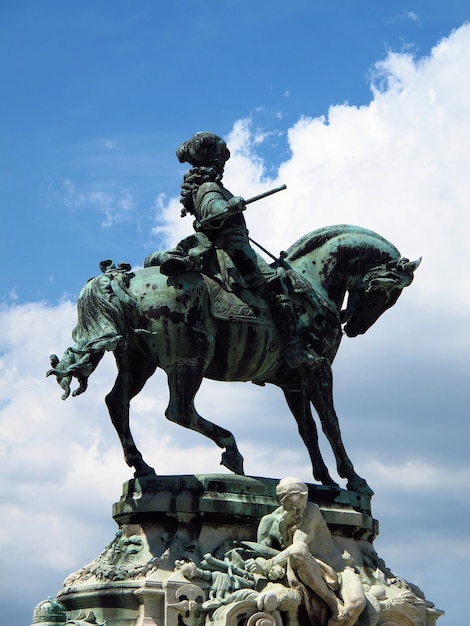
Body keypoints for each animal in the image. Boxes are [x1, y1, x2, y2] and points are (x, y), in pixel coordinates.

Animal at [47, 224, 420, 492]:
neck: (311, 282)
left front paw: (325, 480)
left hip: (139, 363)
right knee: (178, 410)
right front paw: (353, 480)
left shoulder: (294, 383)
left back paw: (142, 465)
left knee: (117, 402)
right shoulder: (320, 370)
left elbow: (308, 430)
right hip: (189, 362)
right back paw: (231, 450)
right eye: (386, 292)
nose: (354, 326)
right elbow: (331, 423)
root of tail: (120, 278)